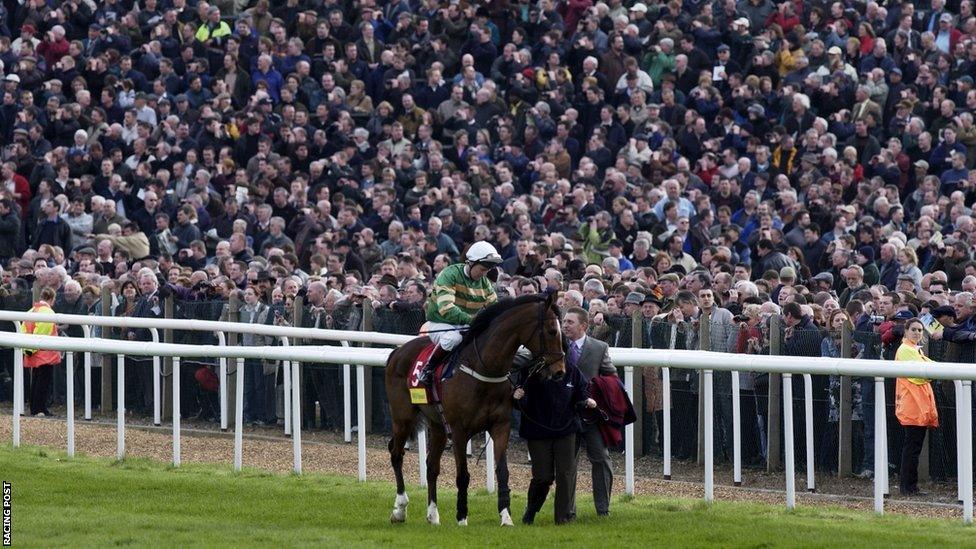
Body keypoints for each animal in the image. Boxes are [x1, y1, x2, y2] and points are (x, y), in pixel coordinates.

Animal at [384, 294, 564, 524]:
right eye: (552, 331)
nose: (560, 371)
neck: (484, 368)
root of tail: (397, 351)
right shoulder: (459, 430)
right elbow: (463, 475)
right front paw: (462, 517)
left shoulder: (500, 425)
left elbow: (502, 471)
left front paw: (506, 516)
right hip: (403, 417)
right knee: (396, 453)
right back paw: (399, 509)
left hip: (437, 424)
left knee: (431, 466)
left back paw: (433, 515)